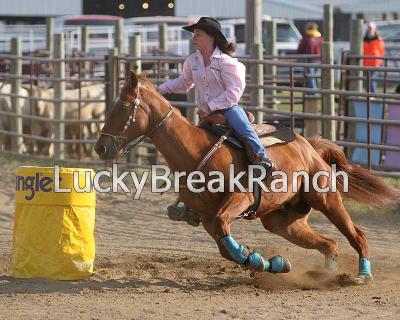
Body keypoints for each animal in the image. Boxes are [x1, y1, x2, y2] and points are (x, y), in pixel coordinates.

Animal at [95, 71, 398, 284]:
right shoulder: (206, 217)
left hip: (328, 200)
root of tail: (309, 146)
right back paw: (326, 275)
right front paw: (272, 263)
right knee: (329, 243)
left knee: (357, 235)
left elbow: (226, 234)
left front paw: (259, 260)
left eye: (124, 106)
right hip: (282, 221)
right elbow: (225, 248)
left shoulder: (239, 199)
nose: (100, 147)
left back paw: (362, 275)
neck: (196, 151)